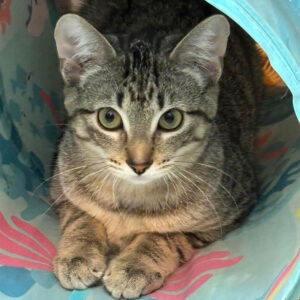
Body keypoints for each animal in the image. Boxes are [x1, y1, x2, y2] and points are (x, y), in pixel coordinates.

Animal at [50, 0, 262, 298]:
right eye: (109, 117)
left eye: (170, 119)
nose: (139, 164)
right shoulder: (60, 185)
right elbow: (82, 215)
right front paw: (78, 253)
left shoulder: (233, 206)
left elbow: (166, 235)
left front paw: (135, 265)